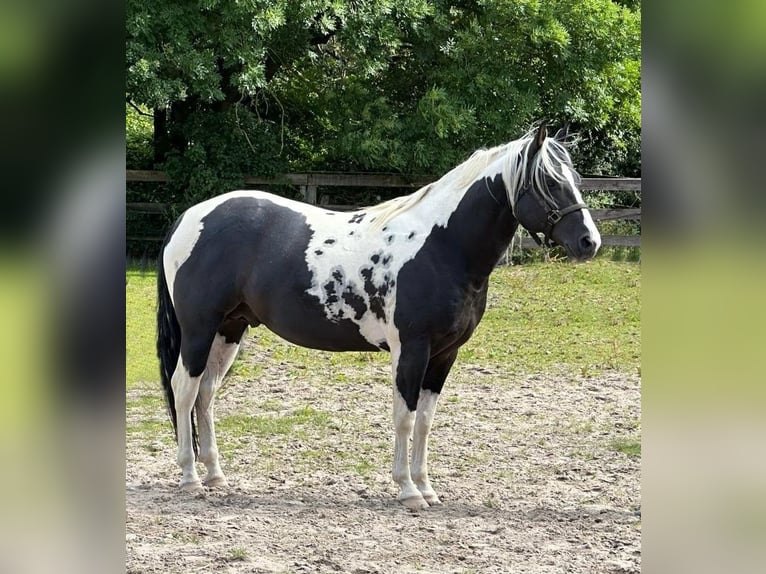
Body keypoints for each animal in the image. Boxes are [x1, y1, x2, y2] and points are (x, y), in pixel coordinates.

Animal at [156, 123, 601, 509]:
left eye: (574, 178)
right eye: (549, 182)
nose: (589, 242)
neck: (442, 246)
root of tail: (188, 218)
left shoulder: (444, 355)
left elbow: (425, 421)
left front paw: (426, 487)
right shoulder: (412, 350)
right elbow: (404, 417)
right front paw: (408, 490)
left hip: (229, 330)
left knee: (206, 394)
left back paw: (215, 474)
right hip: (199, 330)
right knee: (184, 389)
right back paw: (191, 478)